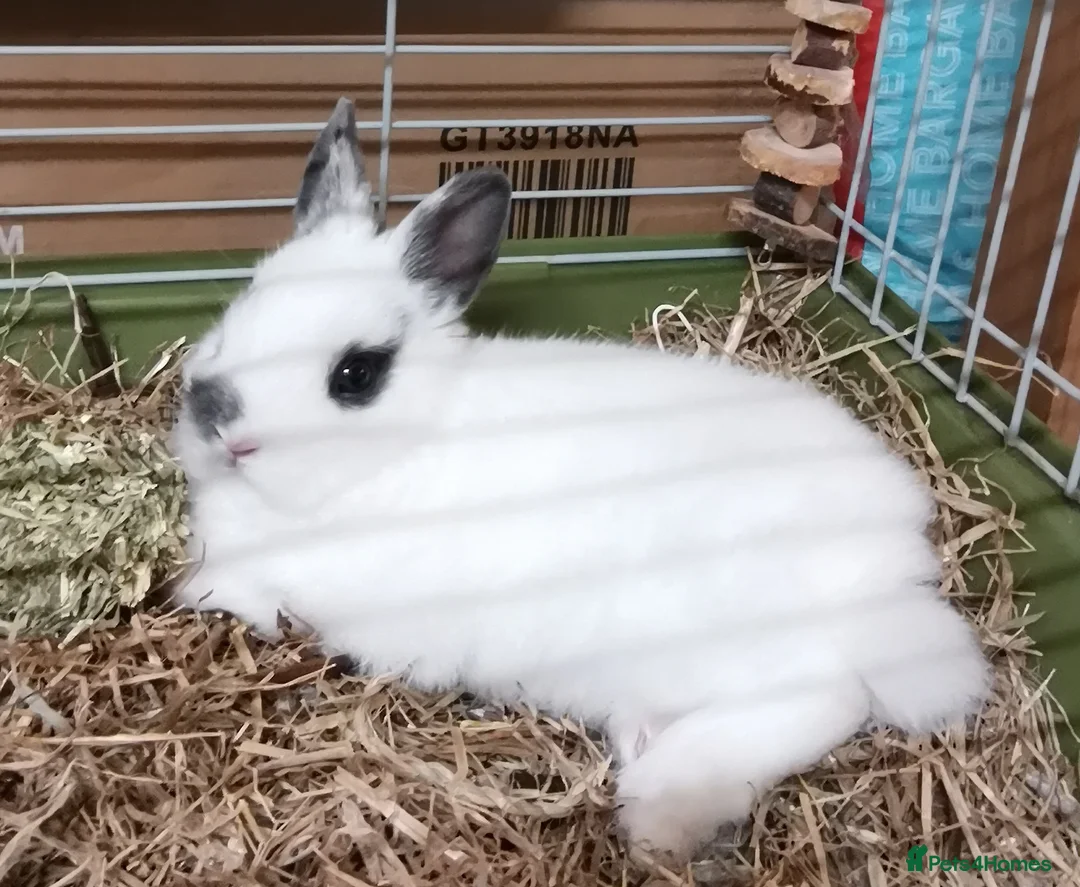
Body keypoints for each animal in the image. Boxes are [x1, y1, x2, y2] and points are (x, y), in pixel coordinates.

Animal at [168, 97, 990, 862]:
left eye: (356, 374)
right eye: (238, 310)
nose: (214, 415)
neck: (397, 452)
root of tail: (895, 573)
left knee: (825, 697)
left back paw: (663, 805)